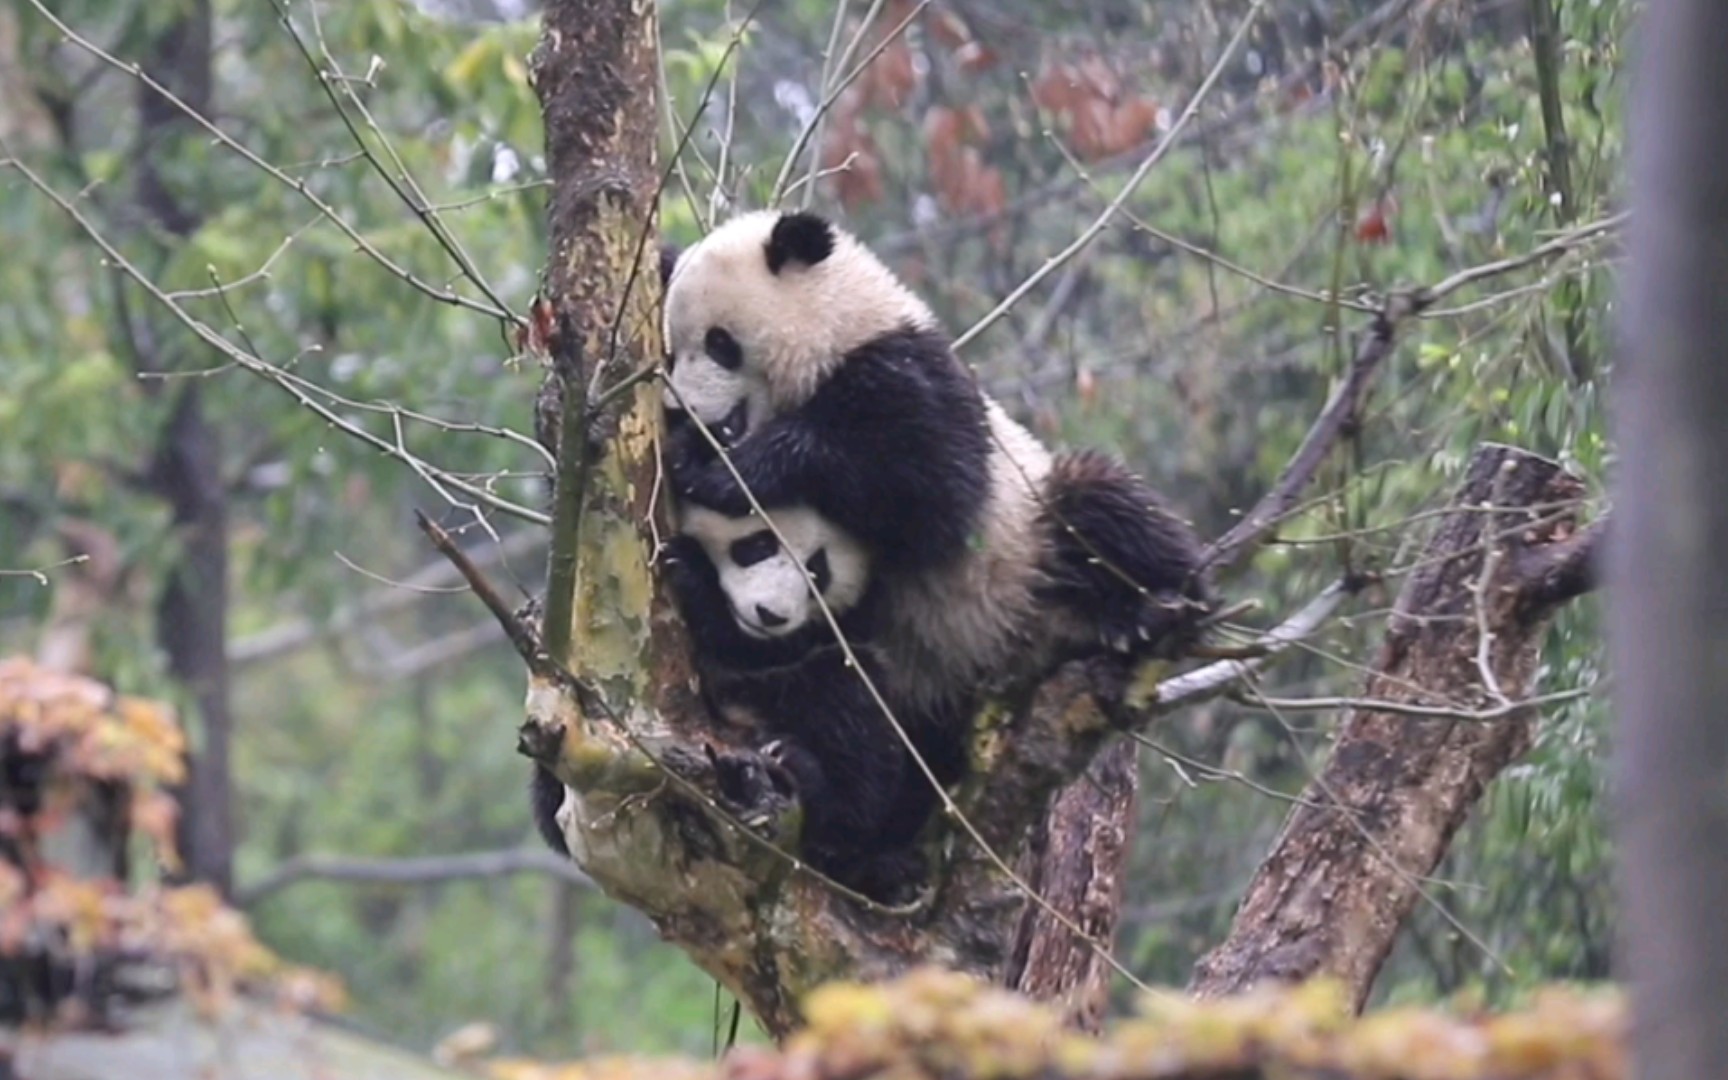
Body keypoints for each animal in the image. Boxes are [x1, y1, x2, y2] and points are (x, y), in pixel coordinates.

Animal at [653, 207, 995, 577]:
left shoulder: (910, 376)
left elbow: (929, 489)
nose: (677, 408)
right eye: (670, 354)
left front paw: (711, 468)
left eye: (718, 343)